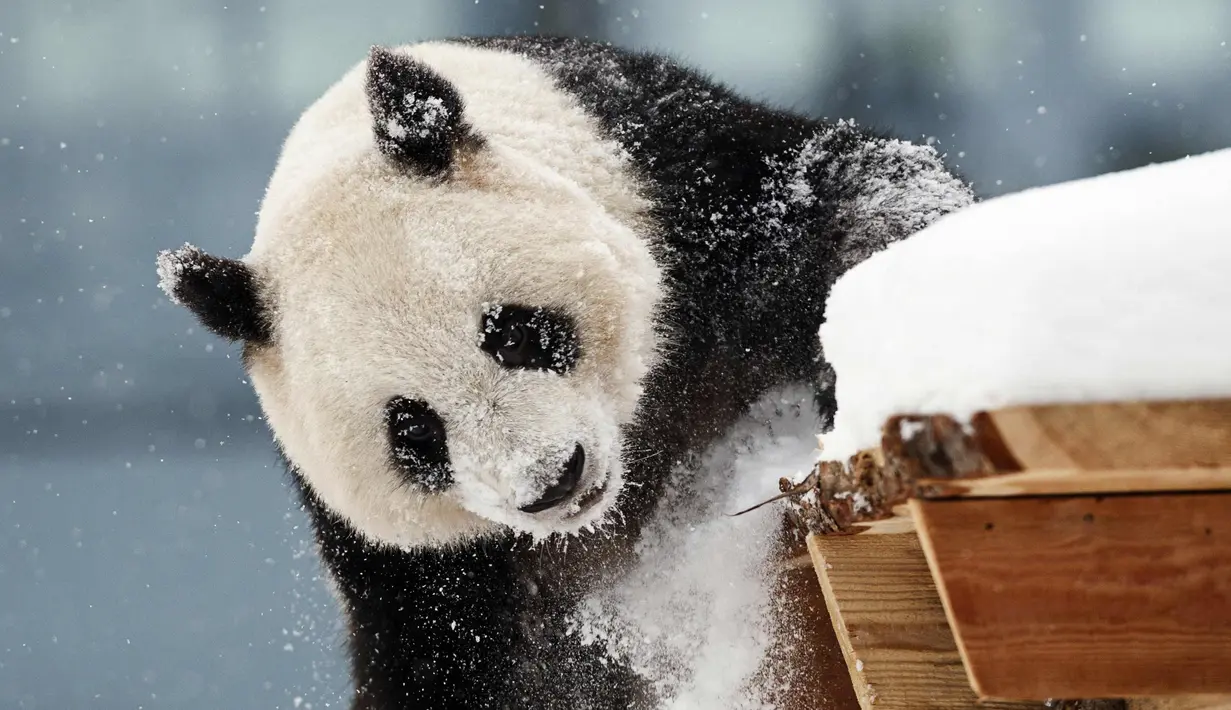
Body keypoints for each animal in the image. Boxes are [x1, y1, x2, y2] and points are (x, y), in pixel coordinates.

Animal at [156, 36, 973, 709]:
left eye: (514, 334)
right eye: (413, 431)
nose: (551, 480)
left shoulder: (685, 193)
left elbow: (847, 195)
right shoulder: (416, 572)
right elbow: (446, 669)